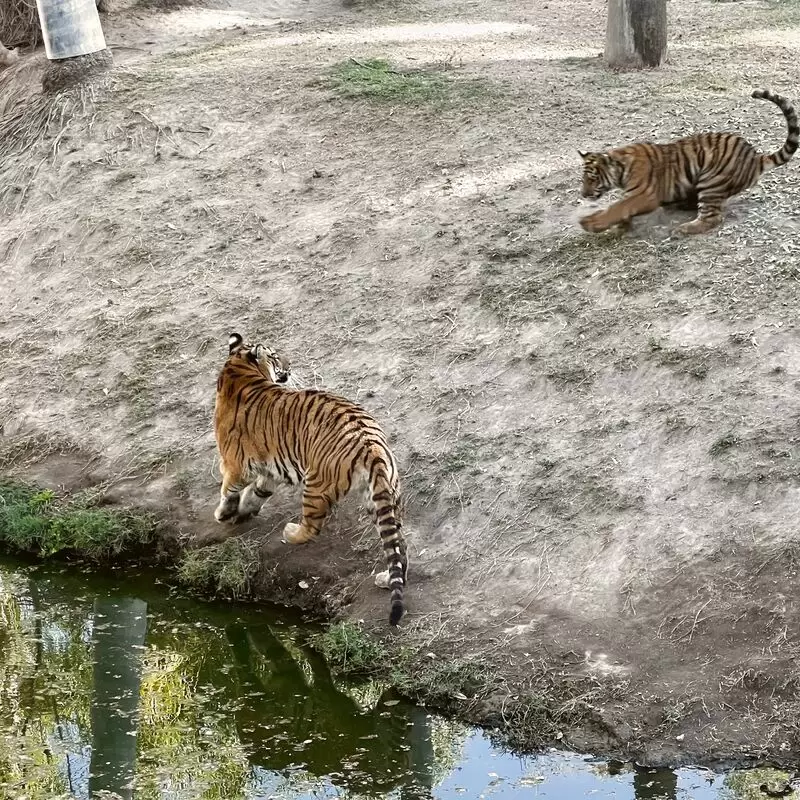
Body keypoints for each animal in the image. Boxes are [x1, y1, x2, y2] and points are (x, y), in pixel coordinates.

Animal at [212, 332, 406, 624]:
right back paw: (386, 578)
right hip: (382, 495)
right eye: (275, 356)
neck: (238, 371)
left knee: (313, 527)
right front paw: (244, 511)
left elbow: (229, 491)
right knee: (398, 544)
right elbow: (257, 492)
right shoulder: (269, 470)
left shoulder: (235, 464)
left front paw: (224, 514)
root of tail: (370, 443)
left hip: (316, 485)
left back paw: (290, 532)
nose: (290, 365)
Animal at [580, 90, 796, 236]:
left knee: (712, 217)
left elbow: (616, 207)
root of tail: (755, 156)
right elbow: (621, 209)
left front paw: (590, 223)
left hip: (711, 179)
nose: (583, 194)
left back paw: (683, 229)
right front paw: (620, 225)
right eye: (583, 179)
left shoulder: (644, 196)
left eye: (592, 179)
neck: (621, 170)